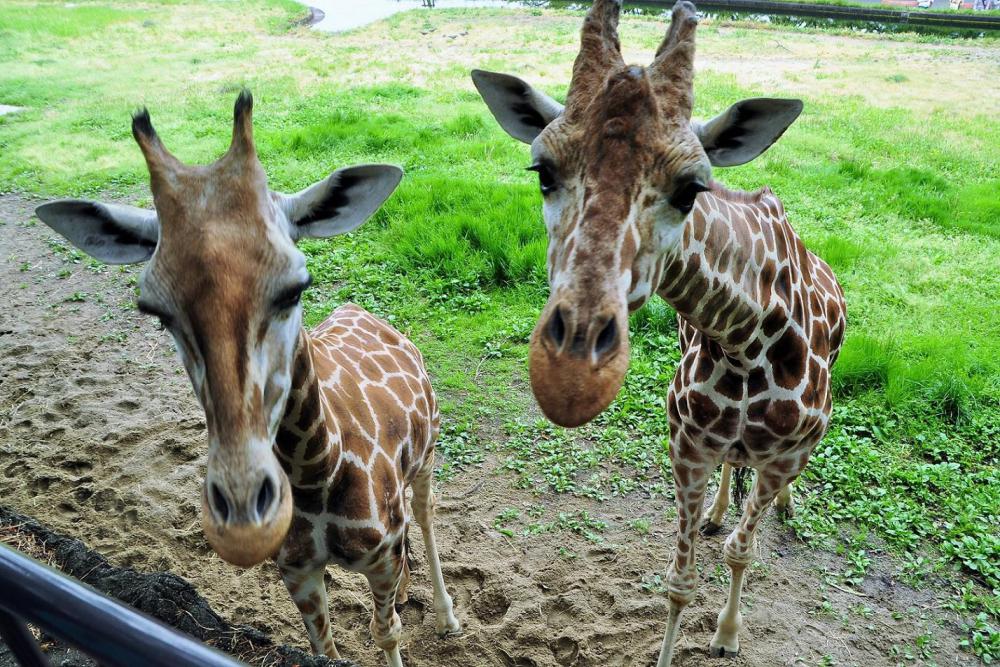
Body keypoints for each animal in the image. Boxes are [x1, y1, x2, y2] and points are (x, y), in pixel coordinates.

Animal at [33, 92, 462, 667]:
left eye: (296, 286)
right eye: (155, 310)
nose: (242, 520)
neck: (316, 474)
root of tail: (366, 313)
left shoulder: (381, 557)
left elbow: (386, 631)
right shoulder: (297, 573)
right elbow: (326, 648)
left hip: (428, 456)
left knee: (428, 518)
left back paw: (447, 617)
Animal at [474, 2, 844, 664]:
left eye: (692, 188)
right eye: (541, 172)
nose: (570, 379)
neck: (744, 340)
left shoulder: (785, 455)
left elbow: (743, 551)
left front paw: (727, 635)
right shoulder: (687, 445)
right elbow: (679, 580)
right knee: (732, 469)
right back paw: (719, 512)